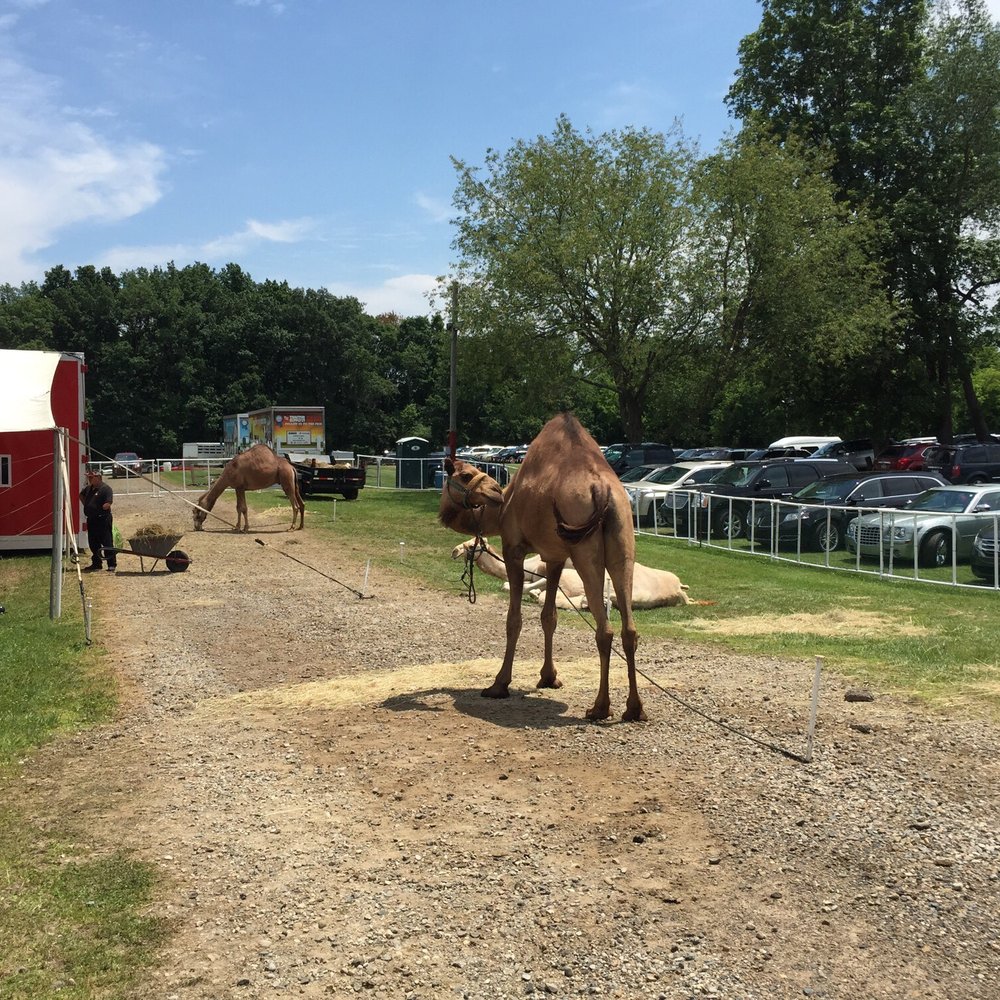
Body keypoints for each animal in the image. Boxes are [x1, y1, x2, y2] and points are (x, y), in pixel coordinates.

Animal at [439, 412, 645, 722]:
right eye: (466, 474)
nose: (495, 491)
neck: (499, 513)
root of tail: (602, 490)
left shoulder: (514, 549)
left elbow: (514, 619)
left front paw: (499, 684)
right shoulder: (556, 556)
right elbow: (549, 616)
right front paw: (549, 677)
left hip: (585, 550)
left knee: (605, 628)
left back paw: (599, 707)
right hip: (623, 543)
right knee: (629, 627)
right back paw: (634, 709)